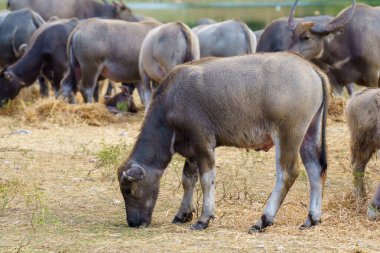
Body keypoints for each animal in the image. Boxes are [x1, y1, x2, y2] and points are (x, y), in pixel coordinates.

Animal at [117, 51, 328, 231]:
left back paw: (263, 220)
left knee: (287, 173)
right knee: (316, 169)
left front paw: (203, 219)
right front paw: (183, 214)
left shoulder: (203, 142)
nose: (133, 223)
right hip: (310, 133)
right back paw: (312, 218)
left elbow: (206, 179)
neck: (171, 102)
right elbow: (188, 180)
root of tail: (311, 68)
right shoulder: (191, 151)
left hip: (287, 135)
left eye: (128, 191)